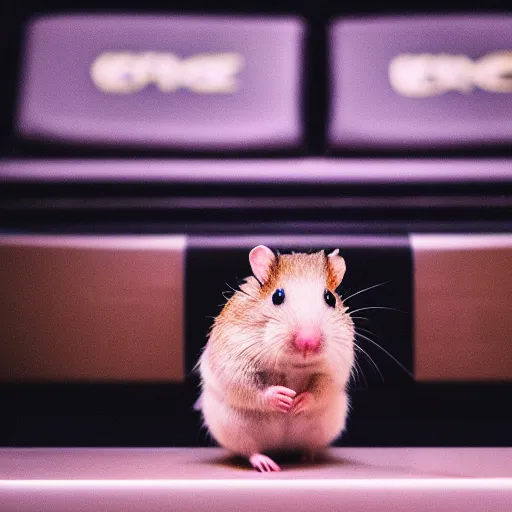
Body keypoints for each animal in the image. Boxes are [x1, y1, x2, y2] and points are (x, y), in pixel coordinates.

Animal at [197, 244, 356, 472]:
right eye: (277, 296)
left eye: (330, 298)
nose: (308, 342)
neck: (293, 365)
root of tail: (281, 450)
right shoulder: (234, 363)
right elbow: (251, 388)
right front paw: (284, 398)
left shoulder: (336, 368)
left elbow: (321, 389)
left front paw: (297, 403)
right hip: (233, 428)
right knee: (249, 450)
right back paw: (266, 464)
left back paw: (308, 456)